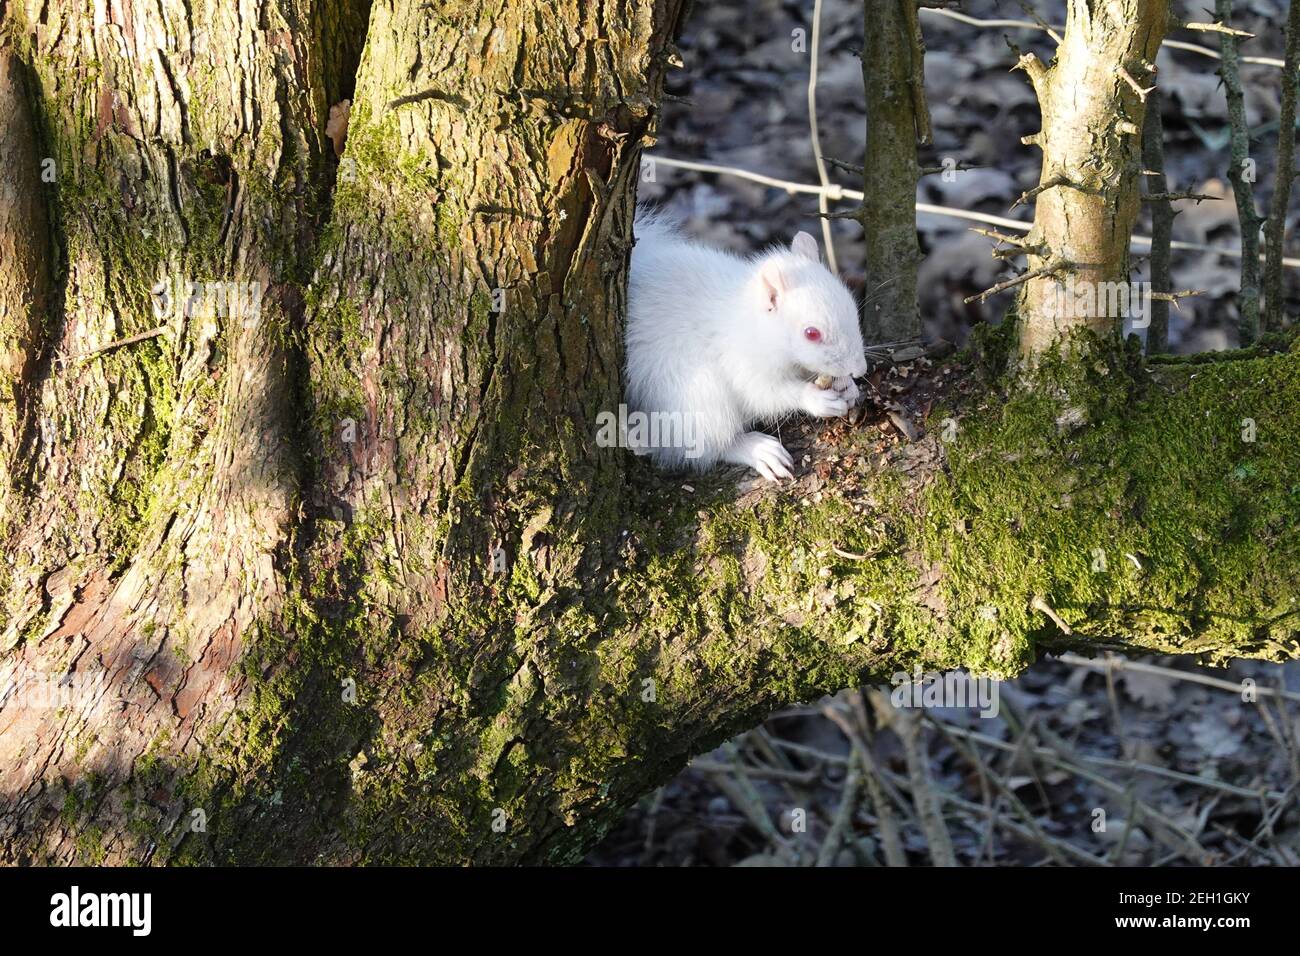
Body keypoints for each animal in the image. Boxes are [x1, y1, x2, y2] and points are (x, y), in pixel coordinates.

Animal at [624, 208, 868, 478]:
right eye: (811, 333)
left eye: (851, 303)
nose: (860, 369)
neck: (756, 326)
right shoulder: (741, 361)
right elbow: (764, 393)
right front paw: (815, 399)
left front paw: (847, 385)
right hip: (696, 396)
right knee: (704, 444)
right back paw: (756, 448)